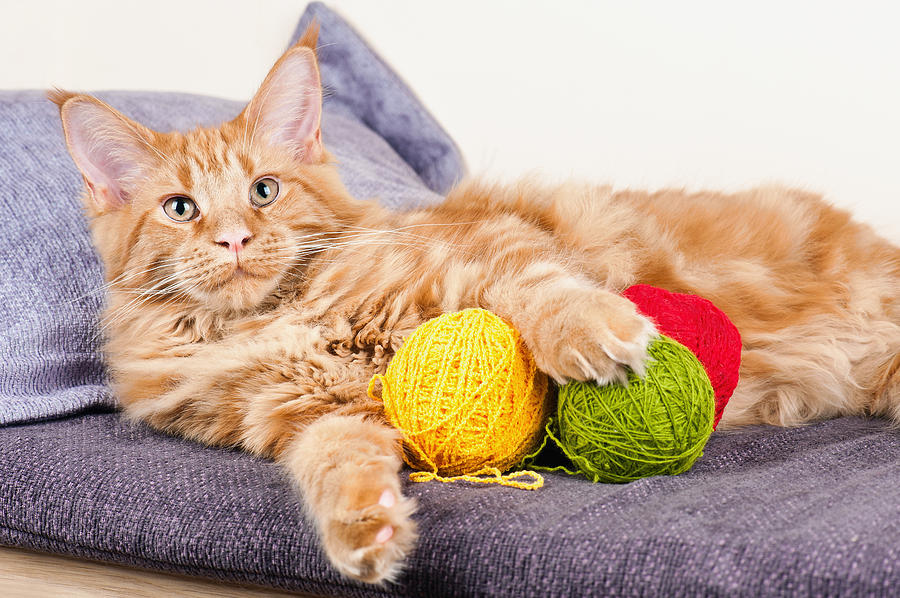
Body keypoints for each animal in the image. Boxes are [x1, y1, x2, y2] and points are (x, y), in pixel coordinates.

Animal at [52, 25, 896, 584]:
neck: (277, 316)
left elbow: (542, 290)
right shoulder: (302, 414)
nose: (232, 239)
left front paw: (595, 332)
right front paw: (364, 527)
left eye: (264, 191)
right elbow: (333, 459)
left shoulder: (493, 245)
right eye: (181, 209)